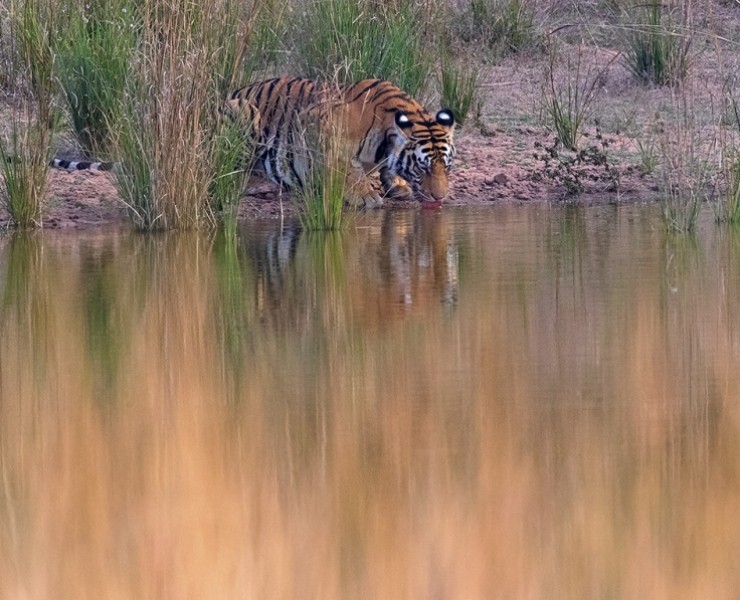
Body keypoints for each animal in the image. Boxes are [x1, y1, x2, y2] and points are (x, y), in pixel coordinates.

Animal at [226, 77, 456, 207]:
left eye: (447, 167)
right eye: (423, 168)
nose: (439, 198)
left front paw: (398, 185)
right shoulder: (320, 124)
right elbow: (345, 168)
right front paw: (365, 196)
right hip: (243, 110)